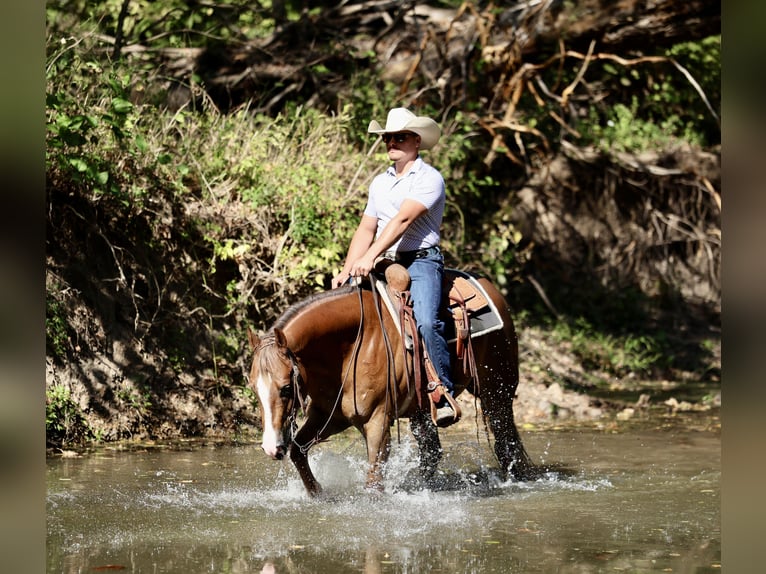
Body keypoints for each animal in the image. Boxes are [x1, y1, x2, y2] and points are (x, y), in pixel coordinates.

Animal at [247, 272, 531, 496]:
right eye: (254, 389)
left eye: (286, 387)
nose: (271, 447)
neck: (352, 346)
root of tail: (490, 288)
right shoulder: (331, 417)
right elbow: (297, 450)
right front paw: (318, 493)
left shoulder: (377, 420)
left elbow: (374, 480)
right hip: (422, 408)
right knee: (432, 452)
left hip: (496, 390)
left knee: (506, 442)